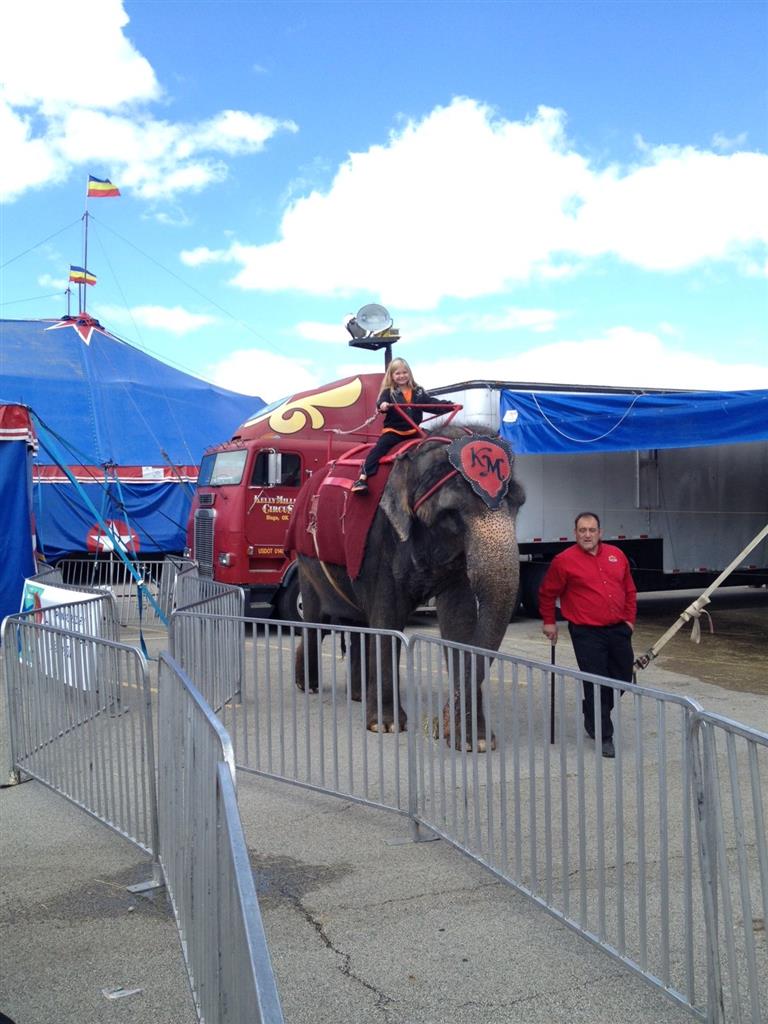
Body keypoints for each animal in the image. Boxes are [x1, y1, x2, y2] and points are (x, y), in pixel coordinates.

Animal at [290, 425, 526, 751]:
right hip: (306, 563)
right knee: (315, 619)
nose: (440, 724)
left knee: (358, 625)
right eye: (451, 512)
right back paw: (309, 686)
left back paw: (358, 695)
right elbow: (388, 621)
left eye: (518, 504)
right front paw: (386, 726)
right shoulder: (378, 542)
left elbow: (459, 625)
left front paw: (474, 742)